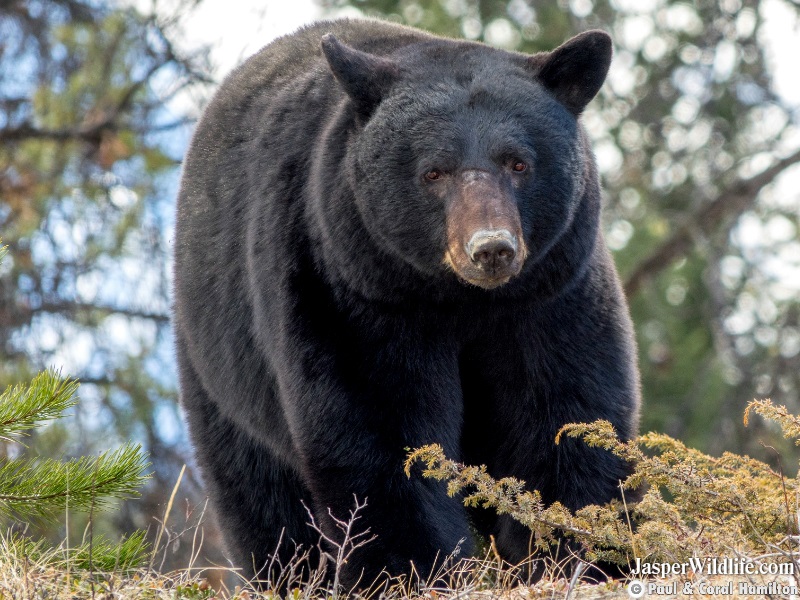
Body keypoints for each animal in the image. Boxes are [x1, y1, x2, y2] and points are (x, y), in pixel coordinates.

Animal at [172, 17, 640, 592]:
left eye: (518, 163)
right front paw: (414, 568)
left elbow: (564, 411)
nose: (491, 248)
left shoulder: (551, 293)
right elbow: (381, 428)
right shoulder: (350, 288)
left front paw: (573, 552)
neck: (460, 301)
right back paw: (291, 573)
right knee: (258, 490)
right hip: (220, 357)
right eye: (434, 171)